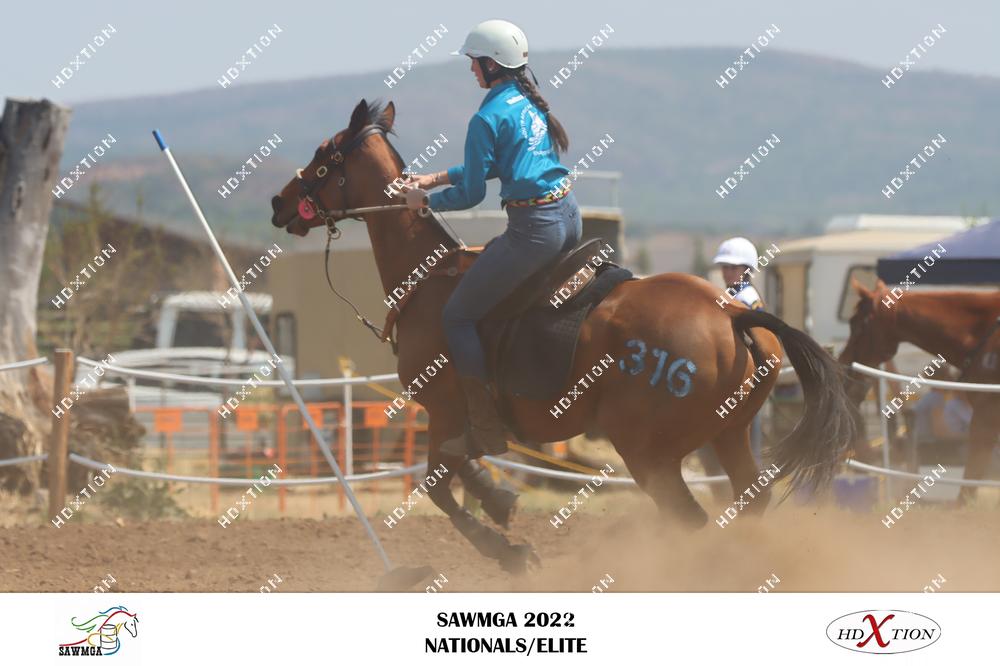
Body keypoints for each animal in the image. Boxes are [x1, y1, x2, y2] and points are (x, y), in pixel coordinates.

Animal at [268, 100, 860, 572]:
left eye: (323, 155)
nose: (278, 203)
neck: (429, 279)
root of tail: (732, 316)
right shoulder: (452, 423)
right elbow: (464, 472)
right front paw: (500, 500)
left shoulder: (444, 410)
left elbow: (439, 484)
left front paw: (508, 548)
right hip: (729, 437)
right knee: (747, 504)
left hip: (650, 454)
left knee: (690, 518)